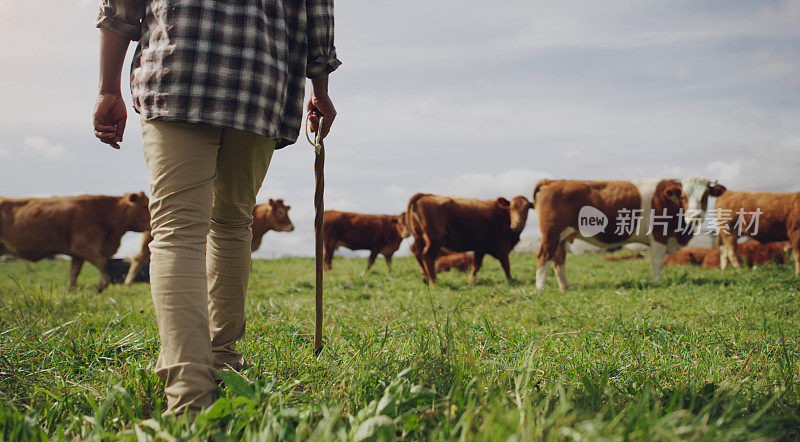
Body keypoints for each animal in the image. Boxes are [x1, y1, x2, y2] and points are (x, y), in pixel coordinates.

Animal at [0, 193, 150, 290]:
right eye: (144, 206)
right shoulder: (83, 246)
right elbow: (103, 263)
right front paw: (102, 285)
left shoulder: (77, 253)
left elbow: (74, 272)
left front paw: (72, 290)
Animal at [532, 176, 724, 290]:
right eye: (683, 196)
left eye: (705, 196)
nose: (695, 216)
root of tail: (553, 181)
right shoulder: (659, 235)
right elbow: (657, 262)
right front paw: (658, 282)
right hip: (551, 233)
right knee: (543, 256)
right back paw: (541, 287)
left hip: (562, 236)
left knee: (558, 259)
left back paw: (565, 287)